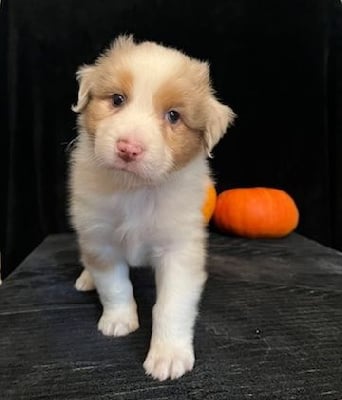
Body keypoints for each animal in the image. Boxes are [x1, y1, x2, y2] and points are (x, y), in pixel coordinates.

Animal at [69, 35, 235, 382]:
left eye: (173, 116)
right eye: (117, 99)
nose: (128, 148)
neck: (136, 189)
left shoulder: (180, 249)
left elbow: (172, 305)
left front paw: (168, 356)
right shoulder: (100, 239)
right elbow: (115, 285)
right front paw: (119, 321)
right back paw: (86, 278)